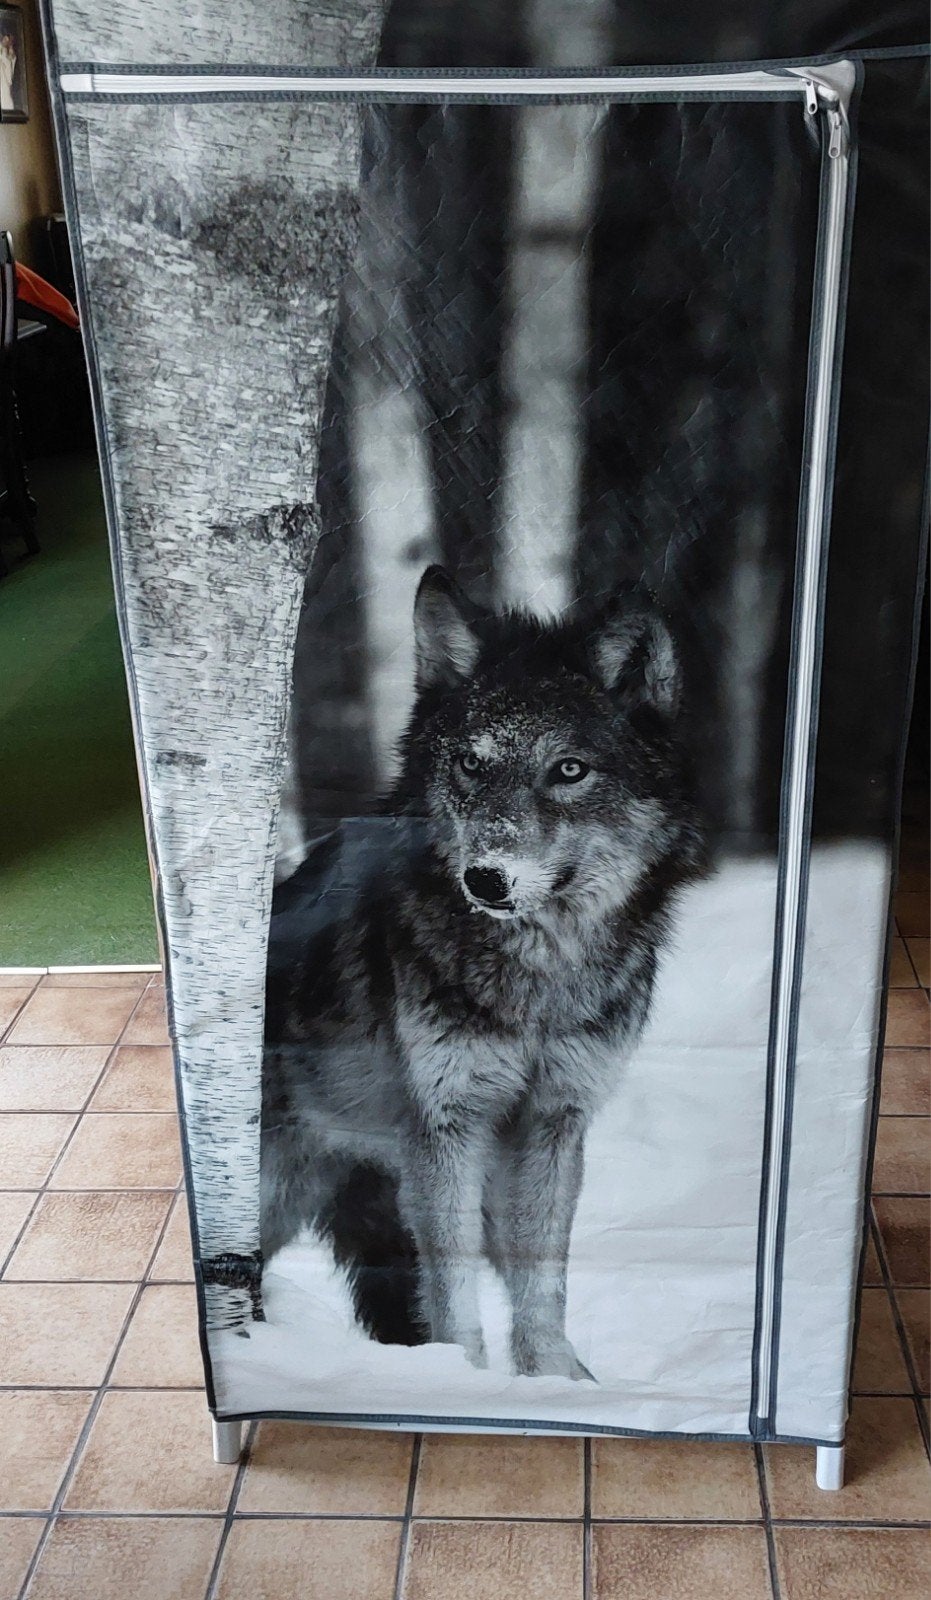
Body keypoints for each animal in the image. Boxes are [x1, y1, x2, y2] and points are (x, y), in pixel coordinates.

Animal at [261, 566, 704, 1379]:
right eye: (471, 763)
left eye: (568, 771)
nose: (486, 879)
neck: (539, 979)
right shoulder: (446, 1127)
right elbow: (452, 1286)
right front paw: (460, 1382)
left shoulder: (554, 1121)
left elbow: (543, 1279)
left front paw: (555, 1381)